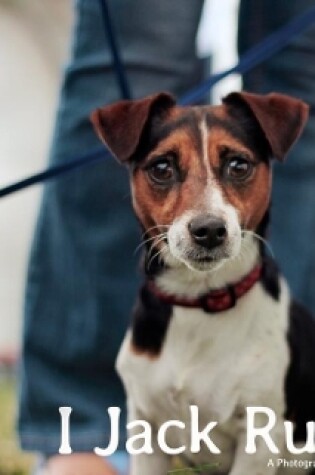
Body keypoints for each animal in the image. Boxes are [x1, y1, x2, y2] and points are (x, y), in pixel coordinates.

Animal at [91, 92, 315, 475]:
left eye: (238, 165)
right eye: (161, 168)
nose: (209, 230)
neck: (199, 299)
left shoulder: (259, 437)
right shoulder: (146, 427)